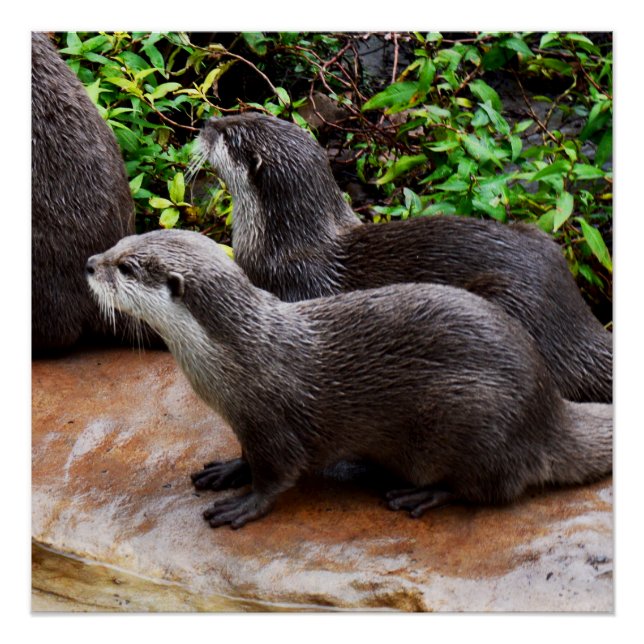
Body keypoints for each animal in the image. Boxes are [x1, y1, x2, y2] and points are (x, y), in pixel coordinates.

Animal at [86, 229, 612, 529]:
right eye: (120, 243)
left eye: (125, 266)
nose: (89, 263)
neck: (239, 356)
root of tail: (548, 412)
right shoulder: (246, 423)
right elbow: (246, 456)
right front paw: (228, 470)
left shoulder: (272, 422)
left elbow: (277, 474)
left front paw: (245, 503)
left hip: (474, 419)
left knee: (490, 488)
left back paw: (420, 494)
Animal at [195, 112, 612, 404]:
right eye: (243, 112)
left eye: (228, 135)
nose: (205, 122)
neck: (280, 244)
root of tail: (577, 325)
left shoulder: (297, 286)